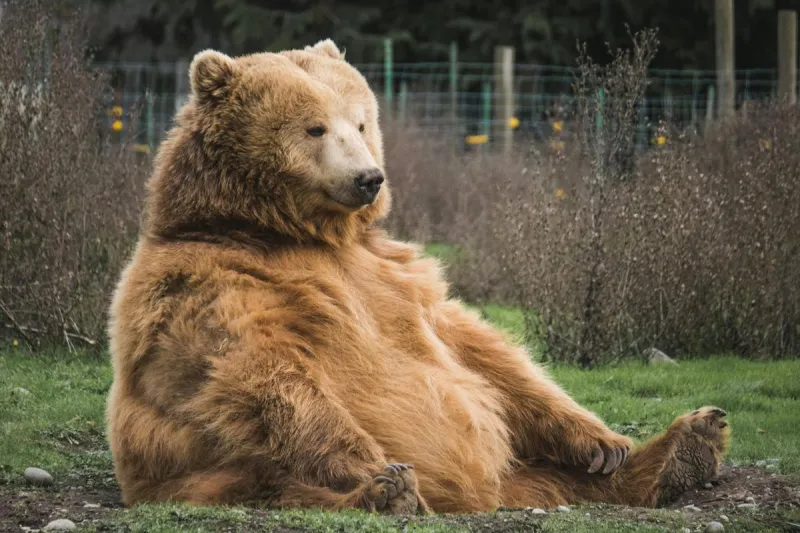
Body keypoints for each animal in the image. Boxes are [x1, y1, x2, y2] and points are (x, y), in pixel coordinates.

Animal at [106, 39, 729, 514]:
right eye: (314, 128)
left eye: (360, 121)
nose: (368, 178)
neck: (291, 232)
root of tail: (484, 496)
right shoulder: (210, 283)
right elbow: (260, 372)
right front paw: (376, 468)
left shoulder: (394, 275)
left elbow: (480, 350)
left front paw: (602, 442)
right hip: (206, 471)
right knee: (276, 481)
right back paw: (388, 492)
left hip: (522, 469)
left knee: (559, 476)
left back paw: (685, 446)